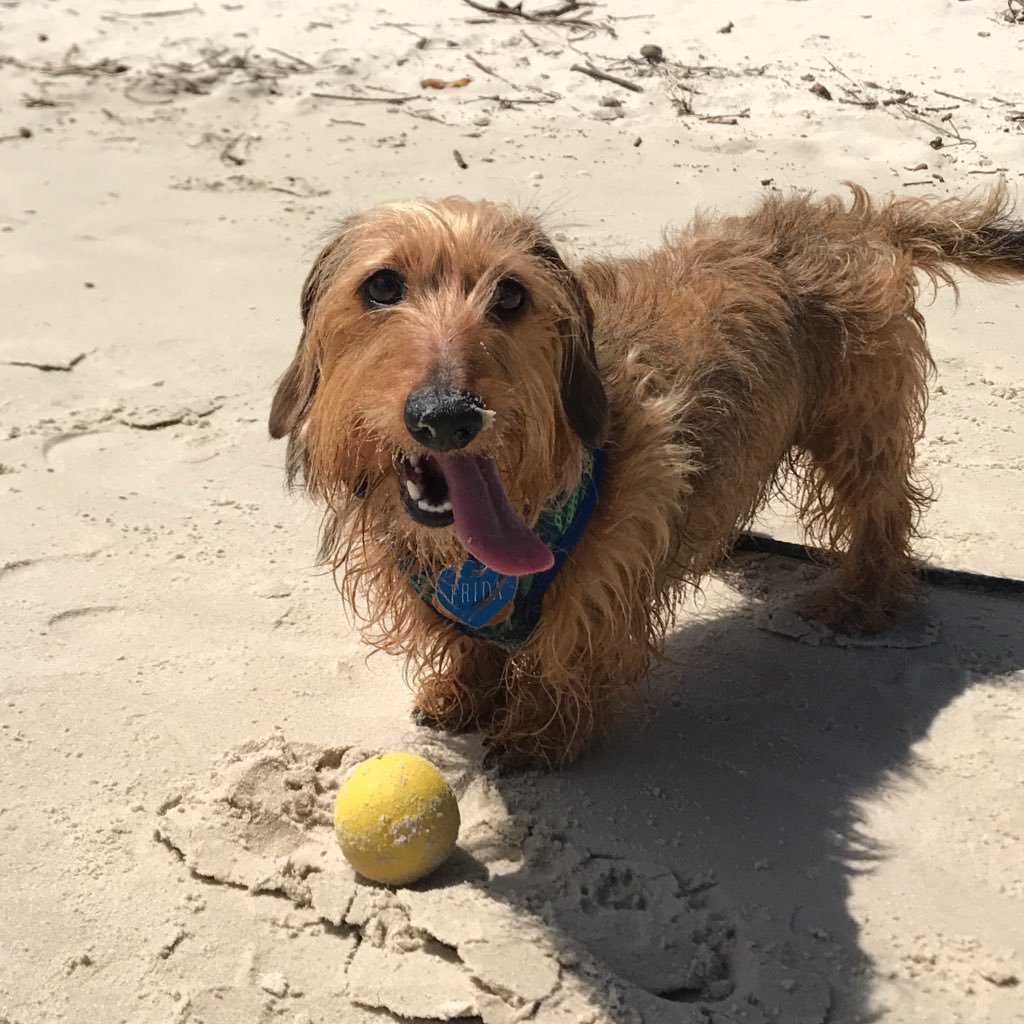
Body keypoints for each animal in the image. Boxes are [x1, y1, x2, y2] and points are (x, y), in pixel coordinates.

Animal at [270, 182, 1024, 770]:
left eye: (510, 296)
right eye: (381, 285)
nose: (448, 417)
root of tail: (856, 219)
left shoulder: (601, 581)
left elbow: (568, 650)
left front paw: (541, 734)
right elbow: (471, 645)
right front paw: (463, 692)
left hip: (857, 431)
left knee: (882, 514)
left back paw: (862, 599)